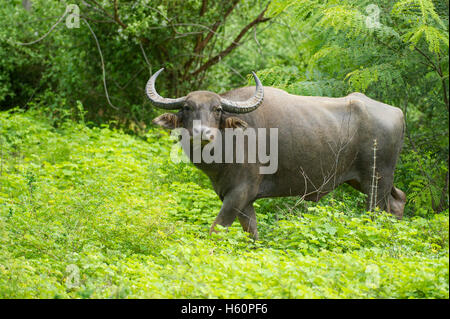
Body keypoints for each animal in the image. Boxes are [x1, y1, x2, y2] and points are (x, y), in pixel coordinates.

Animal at [146, 70, 406, 240]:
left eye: (217, 109)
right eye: (187, 107)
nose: (203, 133)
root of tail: (398, 112)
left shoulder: (240, 193)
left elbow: (216, 230)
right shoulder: (242, 200)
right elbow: (252, 235)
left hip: (376, 182)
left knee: (380, 212)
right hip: (363, 181)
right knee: (398, 200)